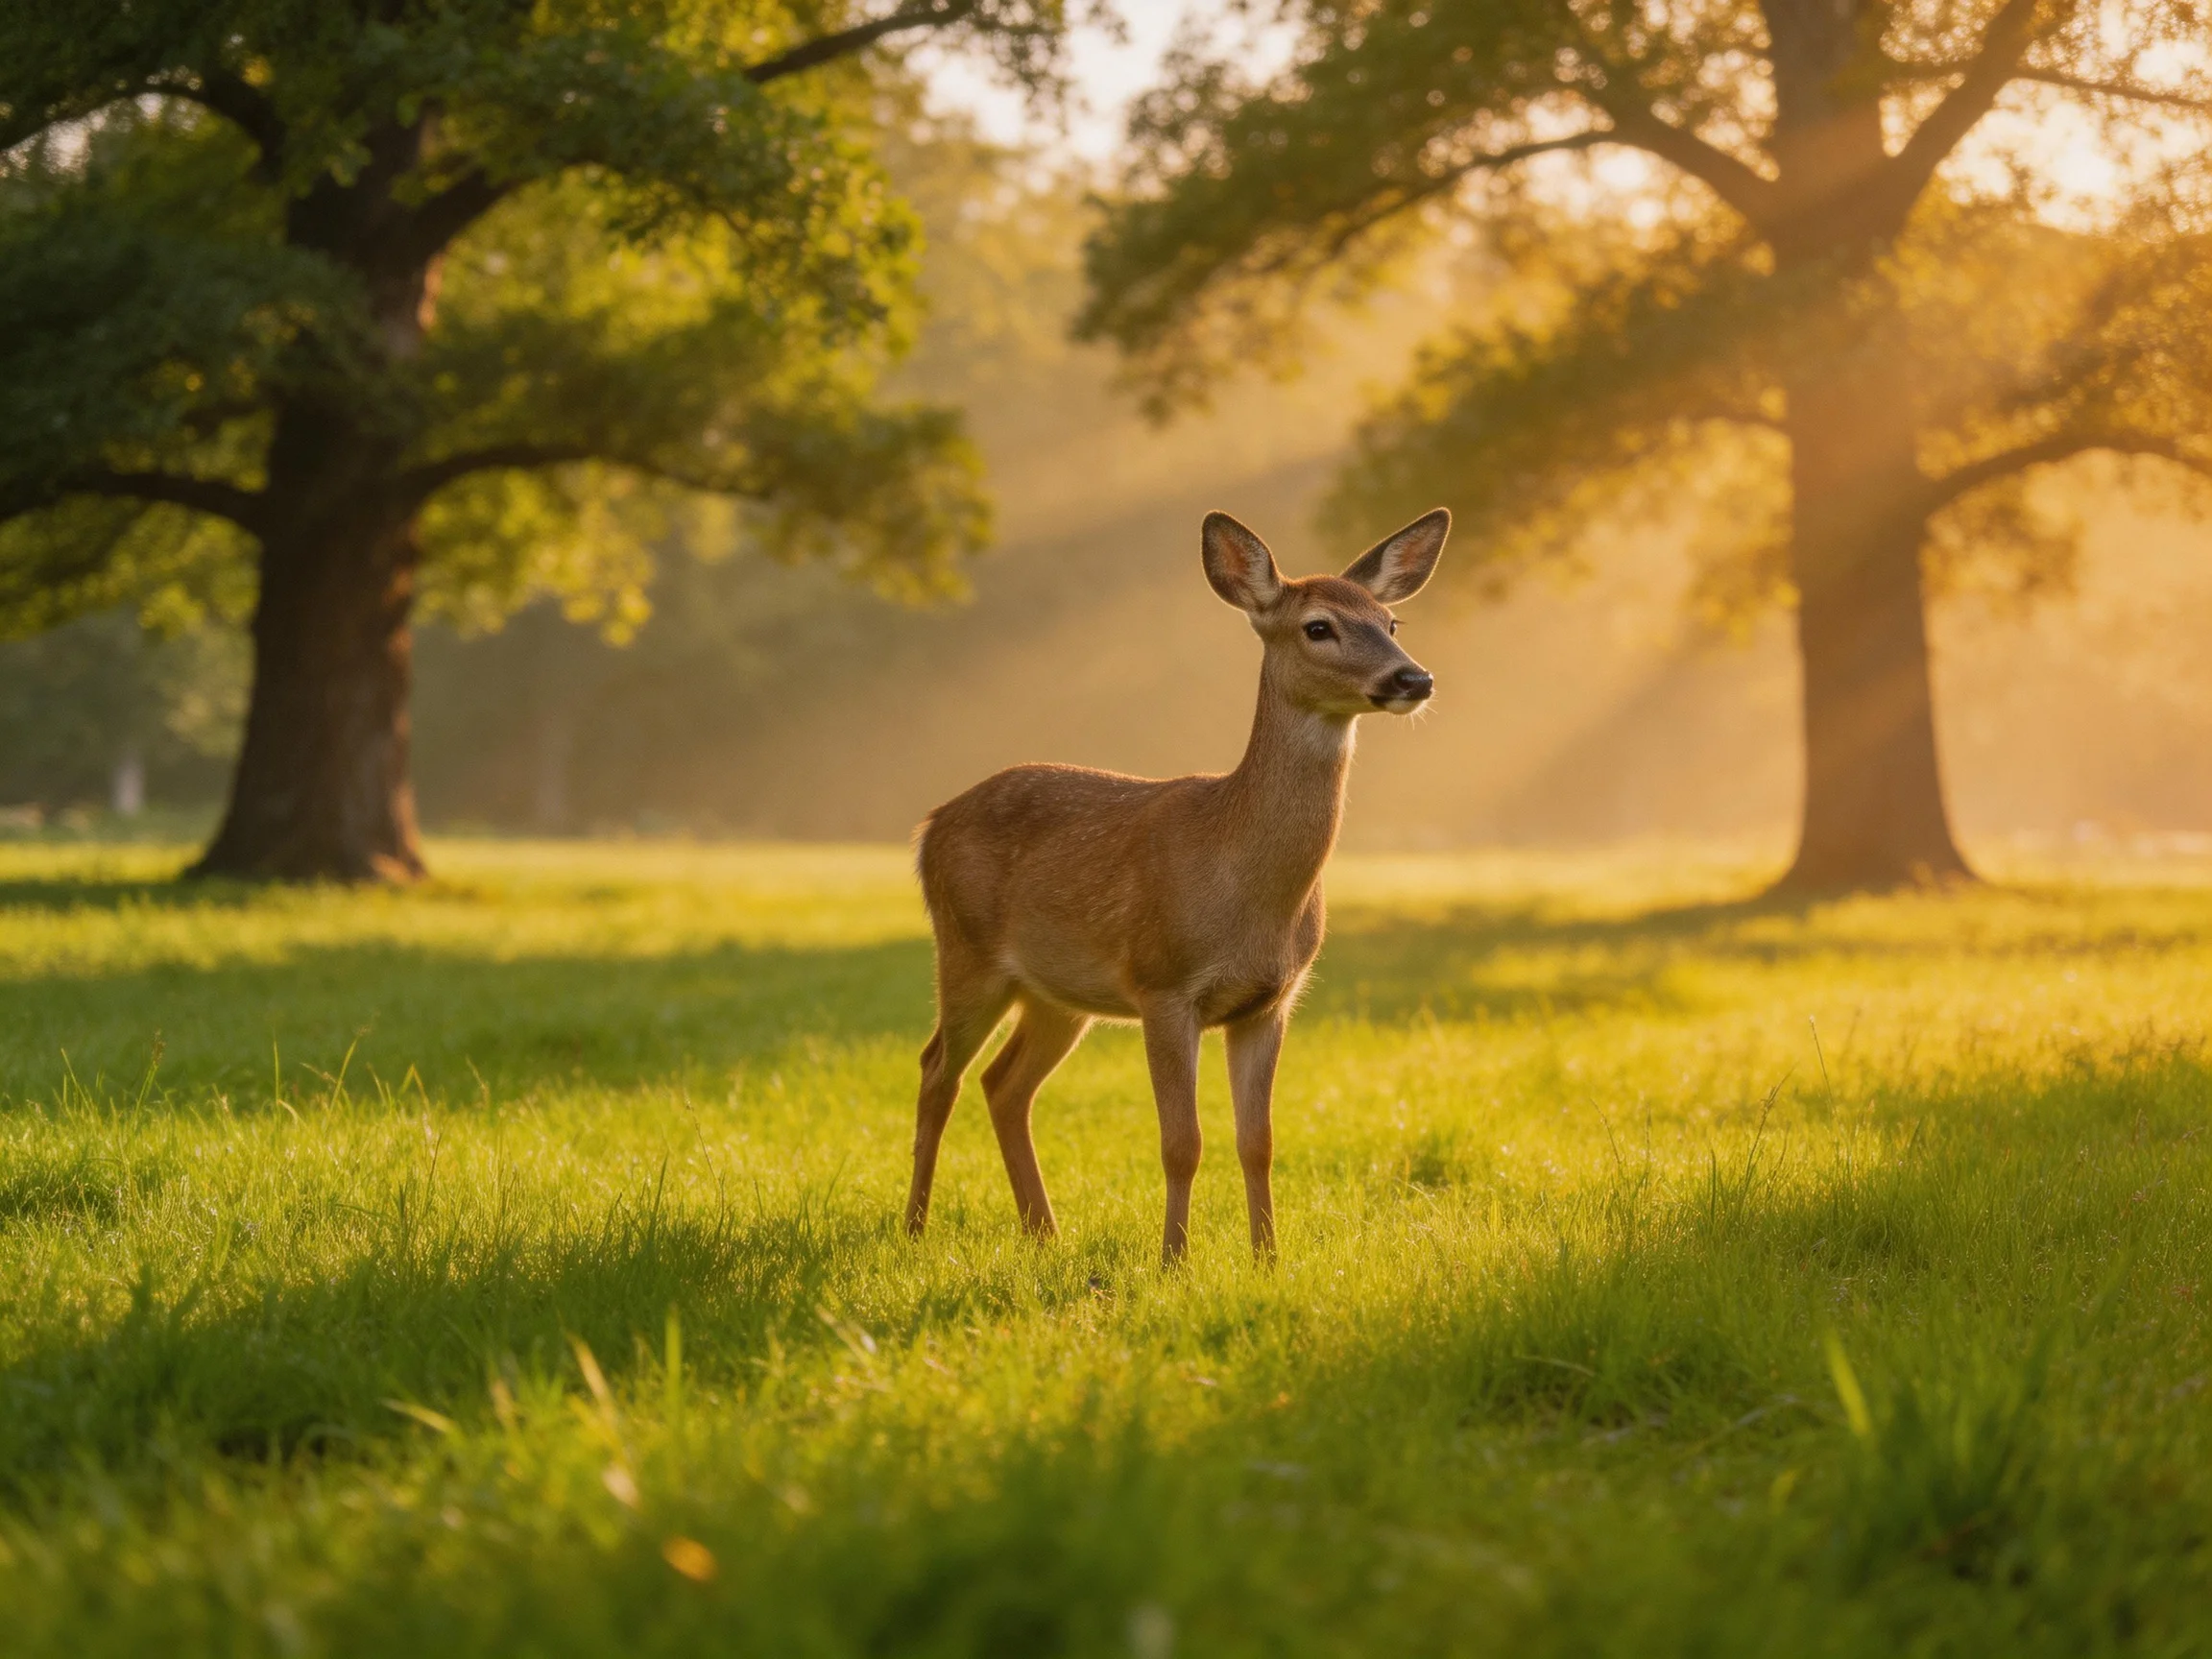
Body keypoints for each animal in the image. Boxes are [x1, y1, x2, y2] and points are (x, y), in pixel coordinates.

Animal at [903, 507, 1450, 1264]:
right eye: (1318, 626)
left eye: (1391, 621)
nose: (1414, 678)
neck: (1246, 889)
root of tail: (930, 824)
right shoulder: (1163, 983)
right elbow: (1181, 1143)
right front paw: (1173, 1261)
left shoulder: (1270, 1000)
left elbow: (1259, 1142)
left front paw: (1267, 1259)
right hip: (966, 950)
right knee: (937, 1071)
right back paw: (914, 1228)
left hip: (1057, 992)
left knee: (1003, 1083)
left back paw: (1045, 1234)